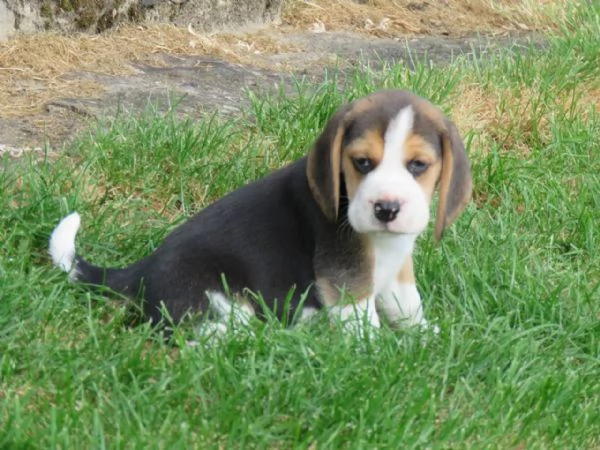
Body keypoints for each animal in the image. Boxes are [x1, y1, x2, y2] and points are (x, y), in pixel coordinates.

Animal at [49, 89, 472, 338]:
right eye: (362, 162)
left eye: (418, 165)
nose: (386, 208)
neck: (382, 242)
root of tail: (141, 270)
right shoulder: (346, 276)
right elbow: (362, 323)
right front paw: (380, 351)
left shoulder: (398, 270)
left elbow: (406, 305)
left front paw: (425, 336)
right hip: (215, 299)